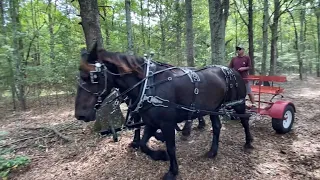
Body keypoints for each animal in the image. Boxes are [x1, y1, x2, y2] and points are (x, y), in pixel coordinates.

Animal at [74, 44, 254, 180]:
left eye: (92, 77)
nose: (80, 114)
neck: (148, 85)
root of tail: (232, 71)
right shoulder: (151, 122)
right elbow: (143, 144)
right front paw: (160, 155)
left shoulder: (167, 123)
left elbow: (171, 147)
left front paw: (172, 171)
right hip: (214, 109)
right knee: (216, 127)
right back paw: (212, 151)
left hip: (239, 103)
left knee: (245, 120)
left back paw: (248, 142)